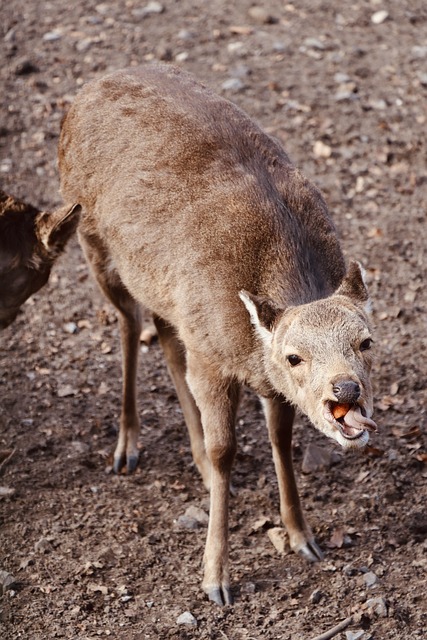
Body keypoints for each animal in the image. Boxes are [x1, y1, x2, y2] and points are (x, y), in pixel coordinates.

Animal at [57, 63, 378, 604]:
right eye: (294, 356)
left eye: (366, 341)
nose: (346, 389)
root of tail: (90, 87)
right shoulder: (212, 357)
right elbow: (224, 448)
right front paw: (215, 577)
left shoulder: (246, 367)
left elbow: (280, 437)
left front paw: (304, 537)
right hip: (90, 238)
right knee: (129, 325)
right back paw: (127, 447)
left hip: (163, 293)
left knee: (165, 337)